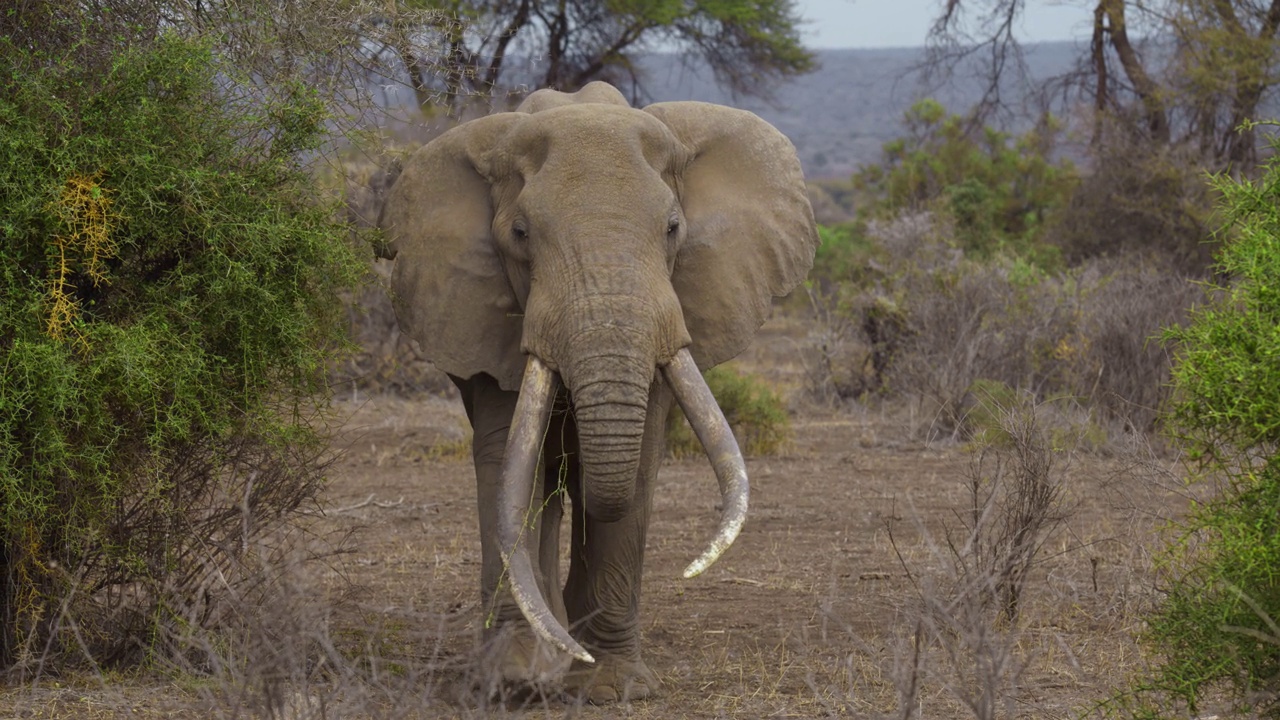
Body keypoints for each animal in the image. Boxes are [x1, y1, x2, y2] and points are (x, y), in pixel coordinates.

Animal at [378, 81, 819, 696]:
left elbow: (636, 467)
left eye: (673, 229)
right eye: (520, 235)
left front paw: (610, 687)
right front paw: (515, 678)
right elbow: (510, 459)